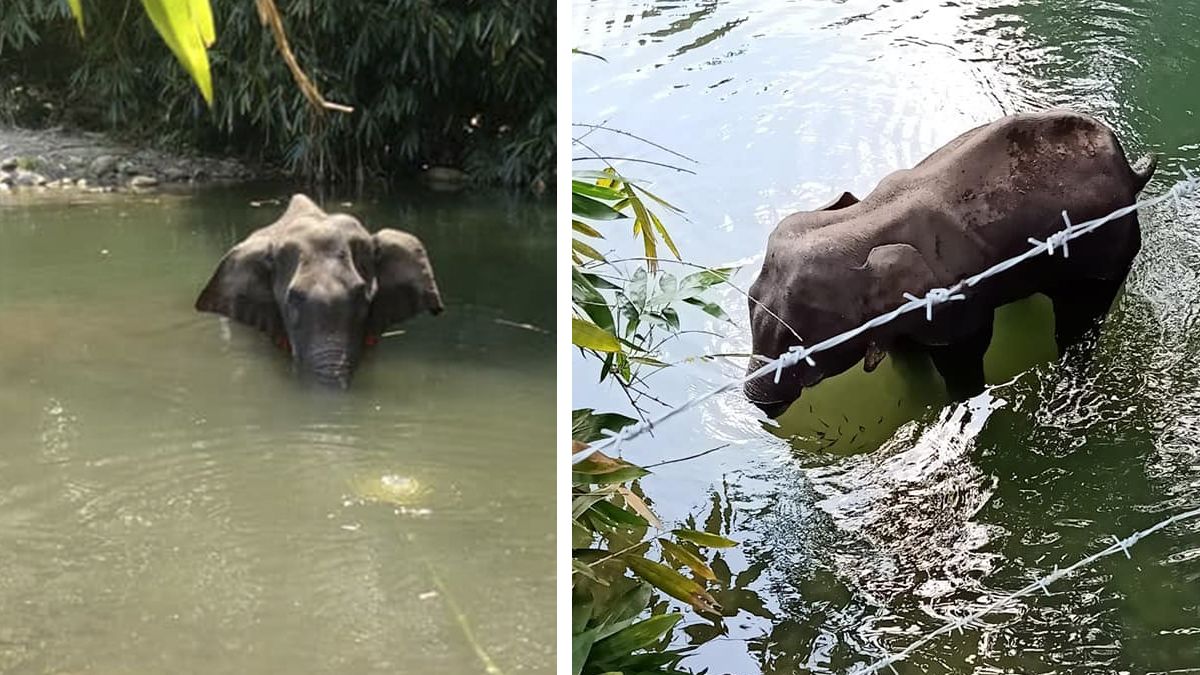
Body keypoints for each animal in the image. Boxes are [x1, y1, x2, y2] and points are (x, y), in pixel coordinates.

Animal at [744, 110, 1157, 418]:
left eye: (801, 345)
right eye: (749, 299)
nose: (758, 403)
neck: (867, 220)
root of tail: (1131, 171)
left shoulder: (954, 301)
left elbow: (966, 352)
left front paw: (958, 403)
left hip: (1107, 247)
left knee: (1080, 318)